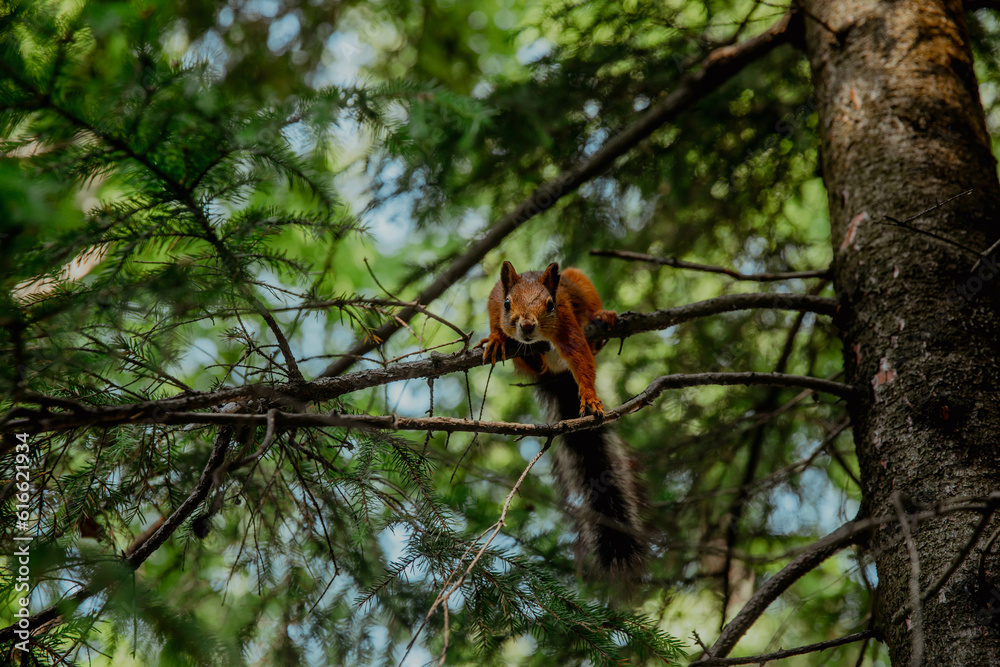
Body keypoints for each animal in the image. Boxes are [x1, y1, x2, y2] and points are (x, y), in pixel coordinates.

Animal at [478, 260, 616, 418]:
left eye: (550, 305)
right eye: (506, 304)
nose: (527, 325)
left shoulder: (563, 318)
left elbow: (578, 350)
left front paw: (589, 395)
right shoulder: (496, 298)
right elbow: (494, 317)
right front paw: (496, 338)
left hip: (579, 281)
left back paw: (603, 317)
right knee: (538, 368)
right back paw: (534, 360)